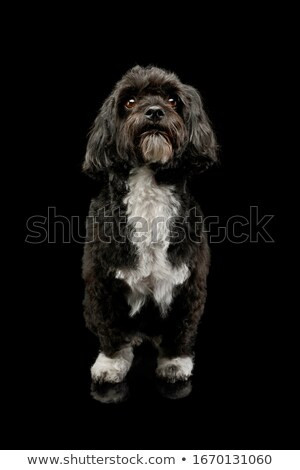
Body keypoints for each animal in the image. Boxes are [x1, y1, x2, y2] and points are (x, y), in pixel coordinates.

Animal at [82, 65, 218, 382]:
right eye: (130, 102)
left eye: (172, 100)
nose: (154, 111)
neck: (149, 188)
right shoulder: (102, 281)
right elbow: (110, 329)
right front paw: (111, 363)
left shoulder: (189, 282)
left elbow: (181, 329)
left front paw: (175, 362)